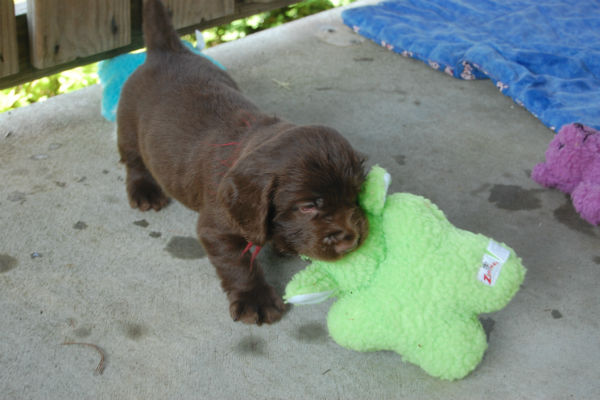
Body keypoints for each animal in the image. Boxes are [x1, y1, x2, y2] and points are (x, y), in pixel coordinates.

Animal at [116, 0, 366, 324]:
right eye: (307, 207)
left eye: (355, 196)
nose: (350, 240)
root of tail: (168, 50)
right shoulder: (218, 228)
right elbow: (238, 264)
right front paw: (255, 299)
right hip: (128, 123)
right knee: (133, 159)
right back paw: (144, 191)